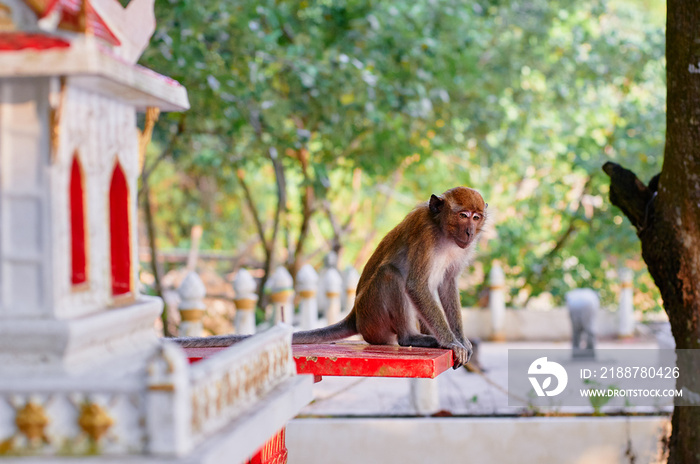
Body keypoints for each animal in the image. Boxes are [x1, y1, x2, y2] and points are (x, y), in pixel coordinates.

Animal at [178, 187, 490, 368]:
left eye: (476, 217)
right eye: (463, 215)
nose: (469, 233)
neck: (442, 231)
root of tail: (354, 316)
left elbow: (447, 284)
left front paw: (461, 339)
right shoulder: (424, 235)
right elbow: (416, 285)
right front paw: (451, 342)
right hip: (373, 319)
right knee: (390, 276)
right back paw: (411, 337)